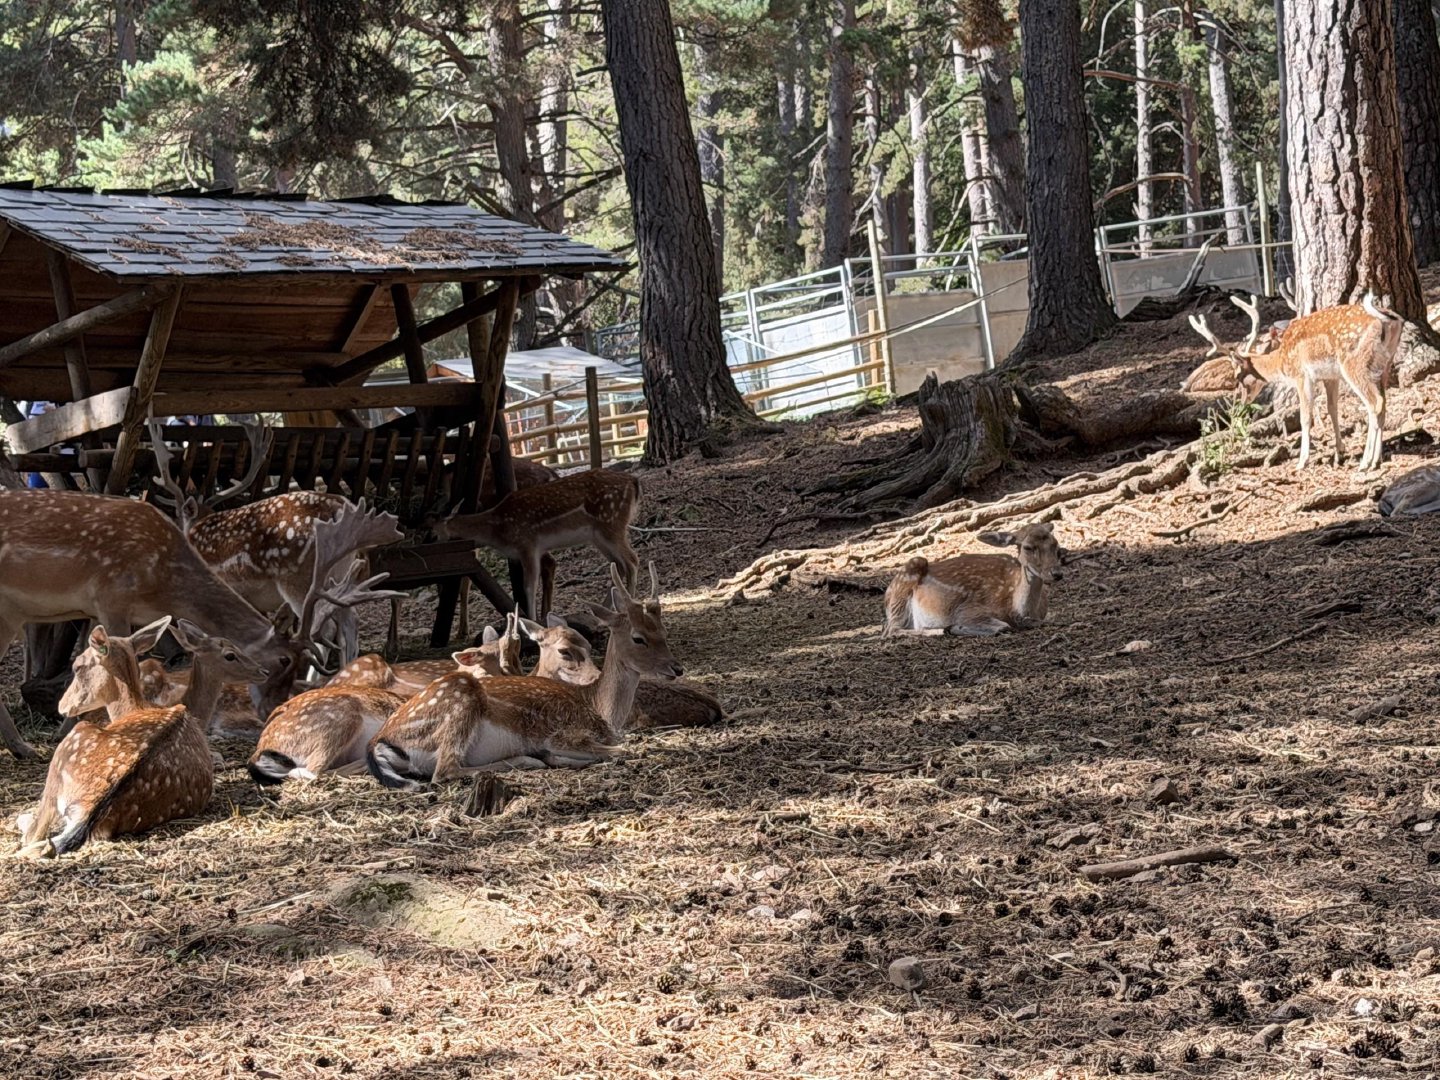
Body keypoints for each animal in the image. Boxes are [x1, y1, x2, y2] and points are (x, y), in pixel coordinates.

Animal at [17, 619, 213, 856]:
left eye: (77, 666)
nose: (62, 706)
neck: (136, 708)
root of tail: (87, 810)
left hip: (68, 747)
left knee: (35, 834)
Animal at [366, 563, 681, 788]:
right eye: (638, 638)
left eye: (664, 631)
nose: (677, 668)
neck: (601, 710)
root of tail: (379, 741)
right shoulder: (564, 734)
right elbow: (625, 750)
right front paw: (554, 757)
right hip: (460, 703)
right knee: (444, 770)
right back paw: (528, 759)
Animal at [431, 468, 641, 619]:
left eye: (432, 534)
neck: (497, 529)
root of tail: (633, 481)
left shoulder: (527, 544)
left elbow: (529, 586)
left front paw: (532, 621)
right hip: (599, 536)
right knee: (619, 564)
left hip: (611, 524)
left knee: (632, 561)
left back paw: (628, 606)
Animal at [883, 522, 1064, 637]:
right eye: (1028, 547)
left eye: (1056, 544)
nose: (1056, 573)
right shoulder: (967, 610)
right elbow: (1003, 626)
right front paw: (955, 627)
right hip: (904, 584)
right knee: (891, 631)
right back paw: (941, 630)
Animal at [1189, 292, 1404, 471]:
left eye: (1238, 377)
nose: (1241, 403)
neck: (1281, 360)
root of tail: (1391, 322)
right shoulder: (1330, 377)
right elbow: (1332, 409)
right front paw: (1339, 453)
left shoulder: (1301, 375)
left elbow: (1305, 417)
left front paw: (1302, 461)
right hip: (1384, 365)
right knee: (1382, 404)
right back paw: (1376, 459)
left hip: (1354, 363)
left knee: (1374, 404)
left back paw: (1366, 463)